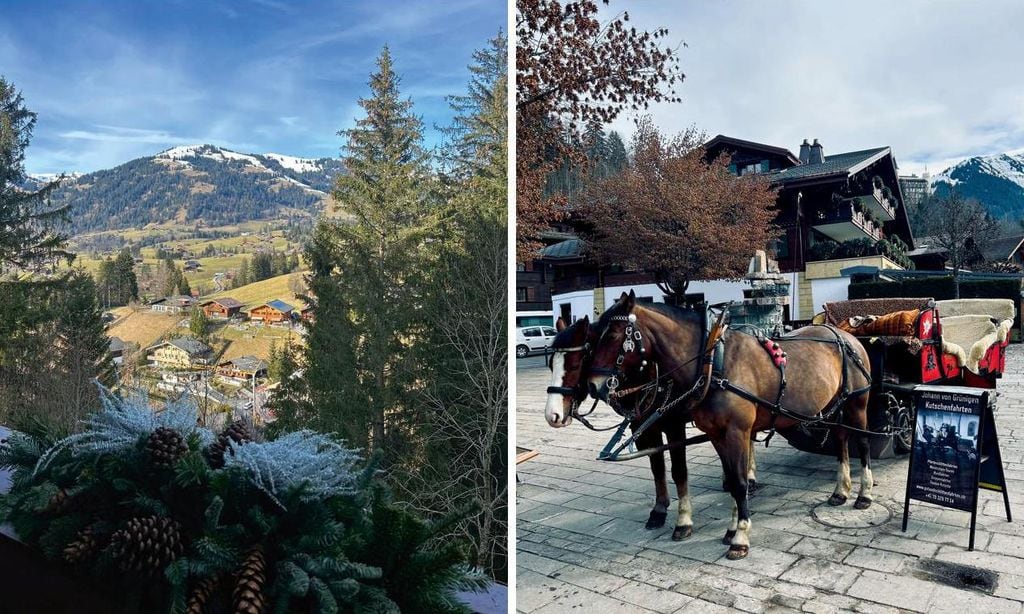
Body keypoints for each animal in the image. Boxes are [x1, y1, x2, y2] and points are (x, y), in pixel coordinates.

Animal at [548, 317, 757, 540]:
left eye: (575, 364)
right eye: (550, 364)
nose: (553, 415)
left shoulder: (674, 426)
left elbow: (679, 471)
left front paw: (683, 520)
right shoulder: (644, 428)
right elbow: (657, 467)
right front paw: (659, 510)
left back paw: (749, 477)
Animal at [585, 292, 872, 560]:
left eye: (612, 335)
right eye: (592, 337)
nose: (593, 386)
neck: (713, 362)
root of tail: (844, 335)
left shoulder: (736, 431)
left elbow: (740, 481)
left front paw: (740, 537)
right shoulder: (717, 434)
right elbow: (733, 479)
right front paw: (732, 529)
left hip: (858, 404)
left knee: (862, 443)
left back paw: (864, 494)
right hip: (836, 403)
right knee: (841, 439)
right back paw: (840, 491)